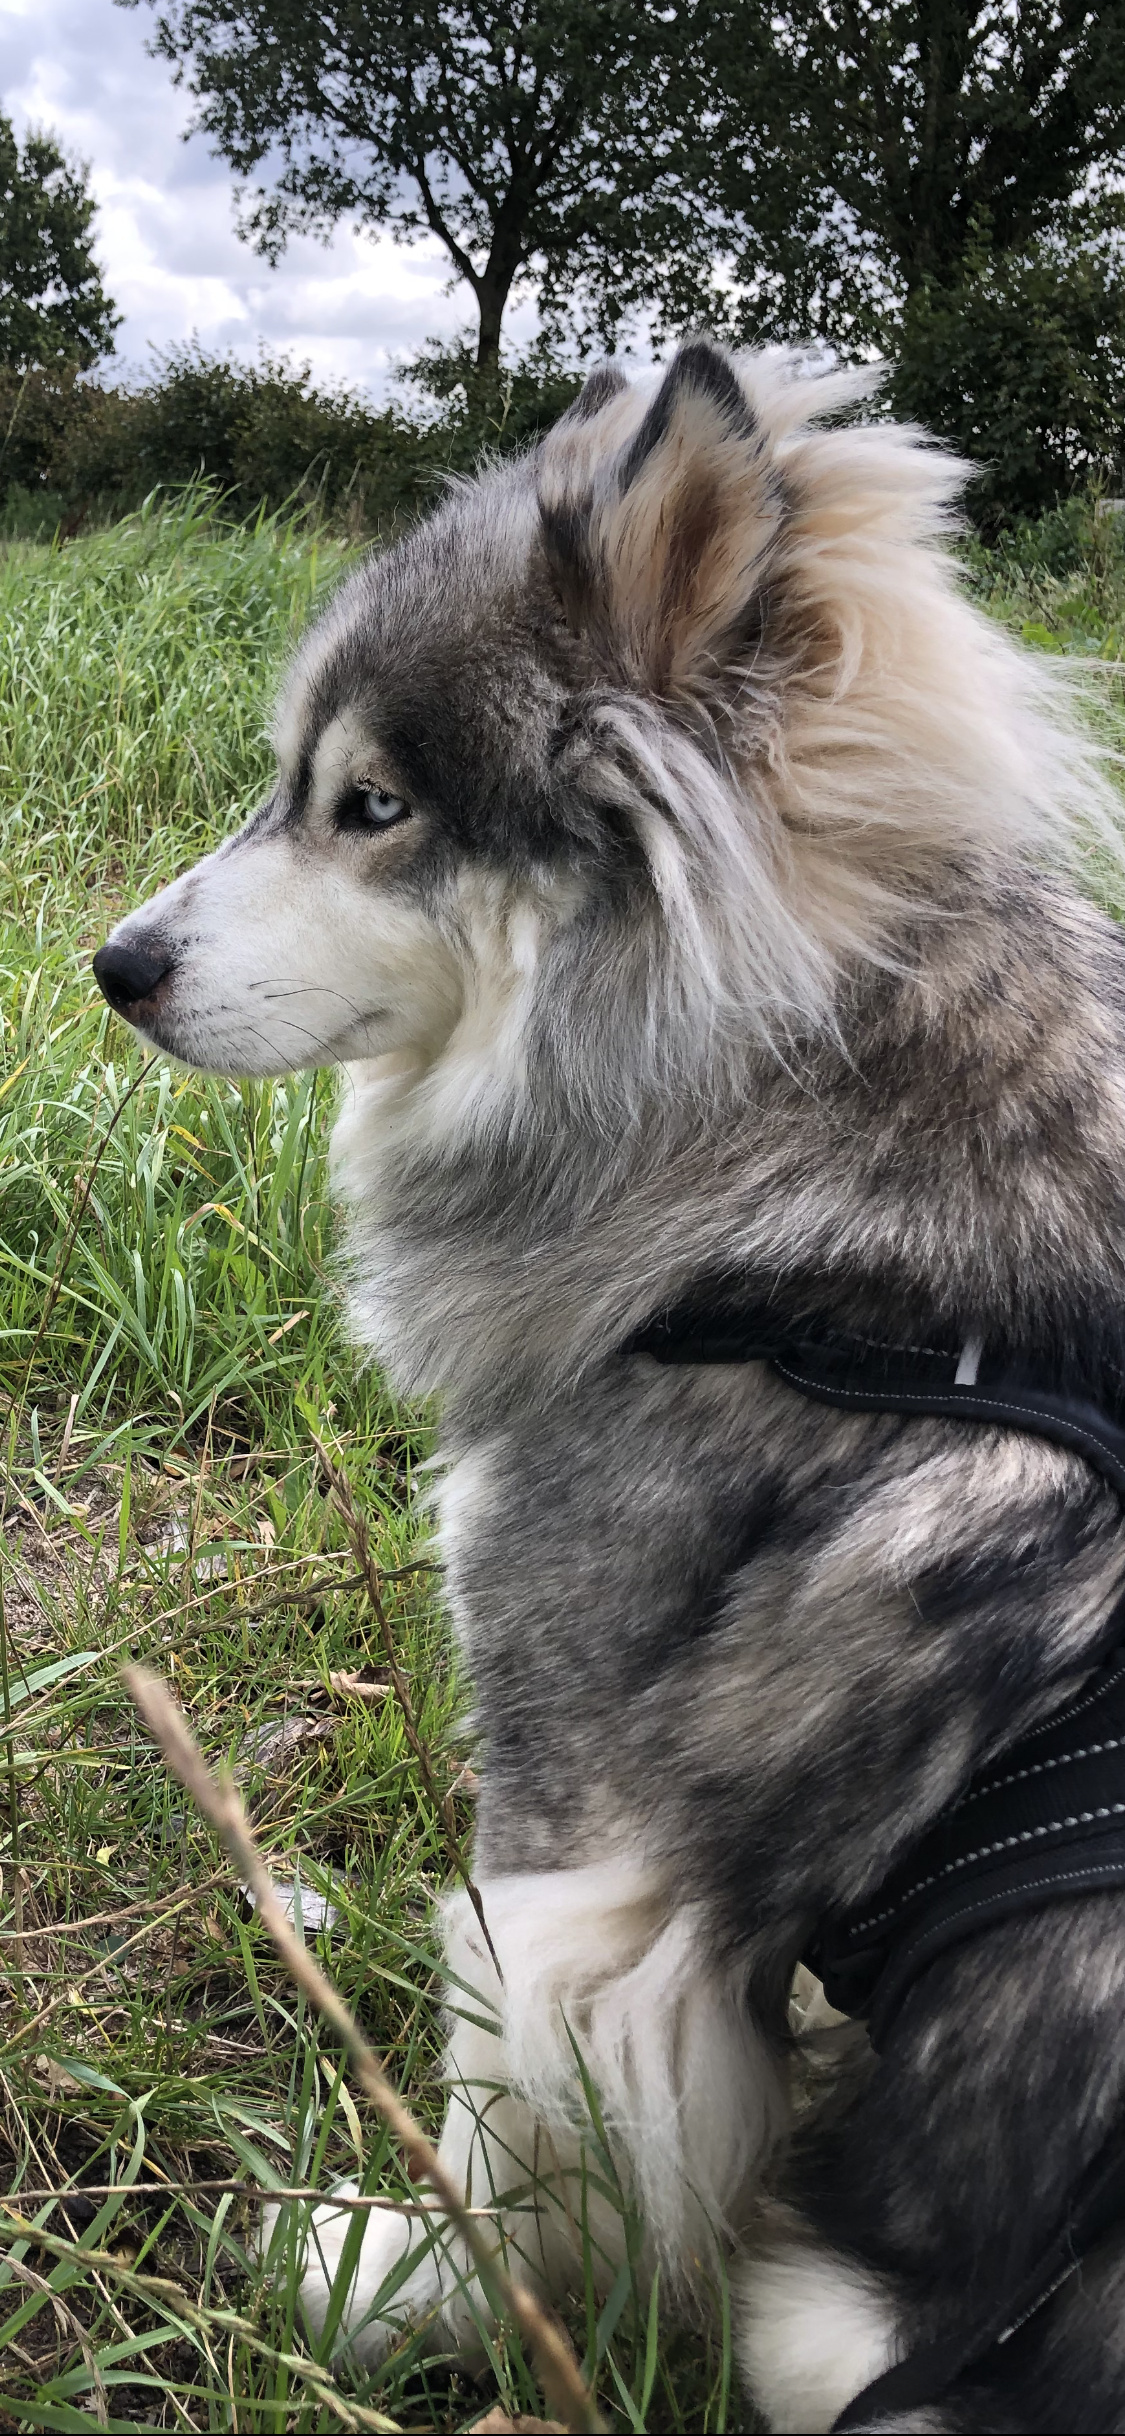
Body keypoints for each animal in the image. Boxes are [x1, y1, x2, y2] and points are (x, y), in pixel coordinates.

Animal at [92, 348, 1125, 2436]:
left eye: (373, 806)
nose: (109, 965)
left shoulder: (588, 1846)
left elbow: (510, 2134)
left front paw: (398, 2287)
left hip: (831, 2333)